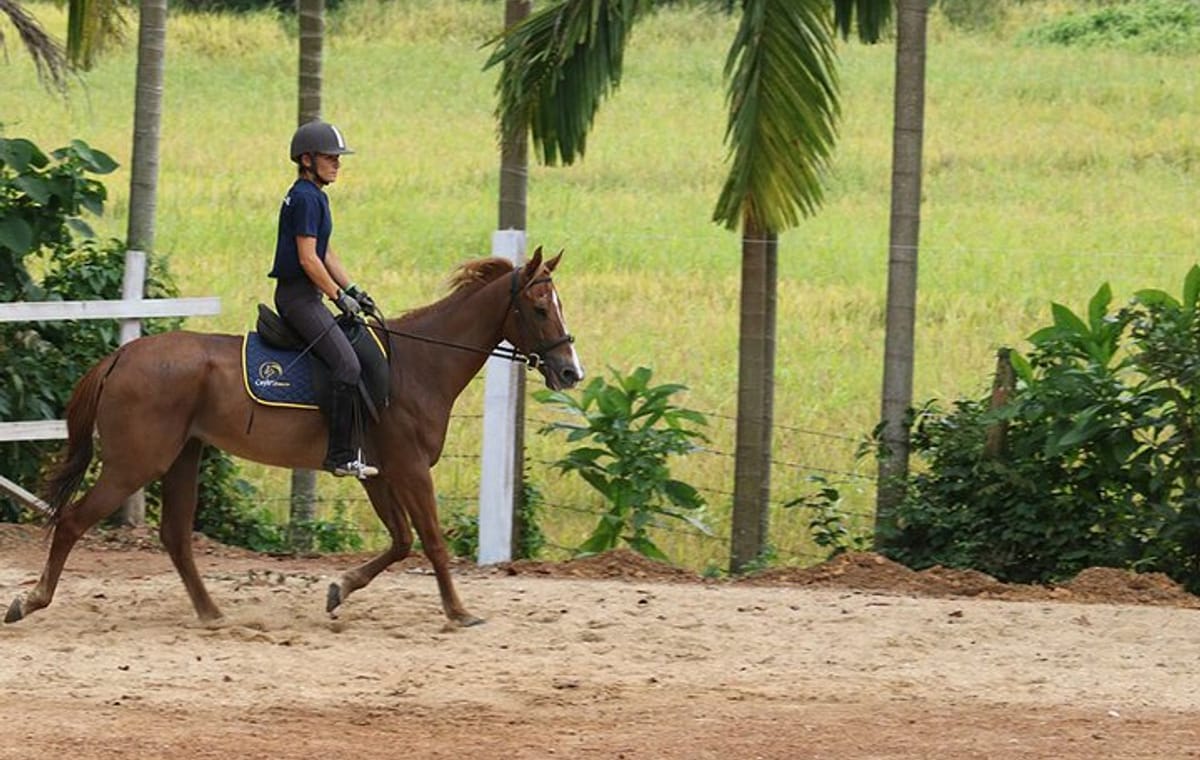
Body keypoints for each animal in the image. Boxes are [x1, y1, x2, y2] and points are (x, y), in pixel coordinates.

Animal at [5, 247, 583, 627]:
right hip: (136, 462)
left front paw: (339, 589)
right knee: (74, 521)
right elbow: (433, 542)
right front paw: (460, 612)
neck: (418, 364)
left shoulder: (377, 472)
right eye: (538, 309)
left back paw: (212, 614)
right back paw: (30, 601)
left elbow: (400, 541)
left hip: (184, 456)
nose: (571, 372)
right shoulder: (411, 469)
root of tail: (120, 356)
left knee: (174, 537)